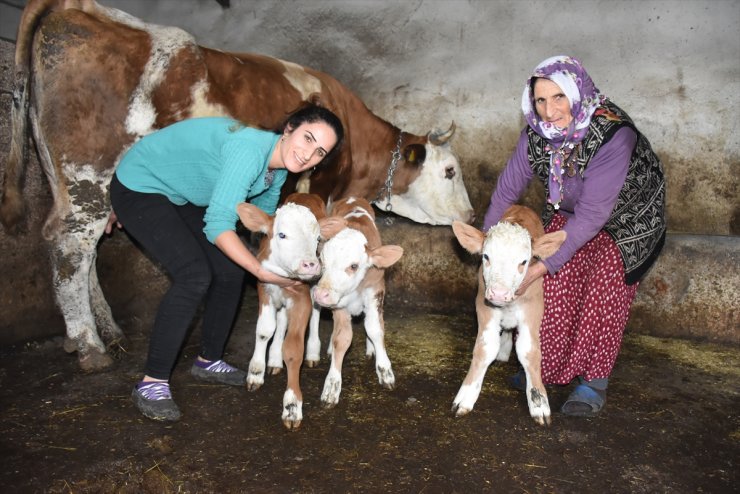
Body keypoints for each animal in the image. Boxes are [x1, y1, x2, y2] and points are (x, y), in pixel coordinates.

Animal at [0, 0, 474, 370]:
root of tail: (79, 8)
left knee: (86, 251)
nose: (470, 215)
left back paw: (107, 329)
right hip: (87, 179)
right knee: (70, 246)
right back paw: (88, 343)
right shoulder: (318, 192)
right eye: (450, 171)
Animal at [237, 191, 336, 430]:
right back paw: (273, 359)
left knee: (316, 314)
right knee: (281, 321)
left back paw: (312, 351)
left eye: (317, 239)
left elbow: (293, 349)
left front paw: (292, 406)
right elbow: (264, 331)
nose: (310, 265)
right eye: (282, 235)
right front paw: (256, 371)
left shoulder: (302, 298)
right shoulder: (264, 287)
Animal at [312, 197, 404, 410]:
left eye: (353, 266)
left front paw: (385, 370)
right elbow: (342, 338)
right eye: (323, 259)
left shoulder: (375, 293)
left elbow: (375, 330)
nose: (321, 294)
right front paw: (332, 385)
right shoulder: (339, 306)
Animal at [450, 204, 568, 424]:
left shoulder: (533, 307)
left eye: (524, 262)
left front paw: (539, 402)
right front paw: (465, 397)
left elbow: (529, 352)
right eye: (486, 257)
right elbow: (485, 348)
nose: (499, 293)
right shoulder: (484, 304)